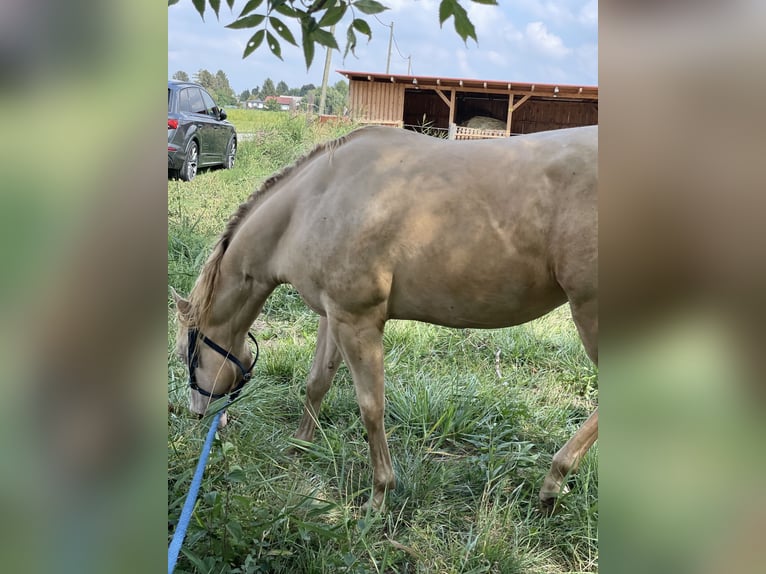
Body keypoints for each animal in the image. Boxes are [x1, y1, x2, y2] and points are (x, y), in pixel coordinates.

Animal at [174, 124, 600, 510]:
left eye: (185, 355)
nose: (198, 416)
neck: (316, 201)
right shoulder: (333, 316)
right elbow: (317, 383)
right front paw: (299, 446)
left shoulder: (358, 322)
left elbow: (371, 406)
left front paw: (379, 495)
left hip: (590, 314)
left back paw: (554, 480)